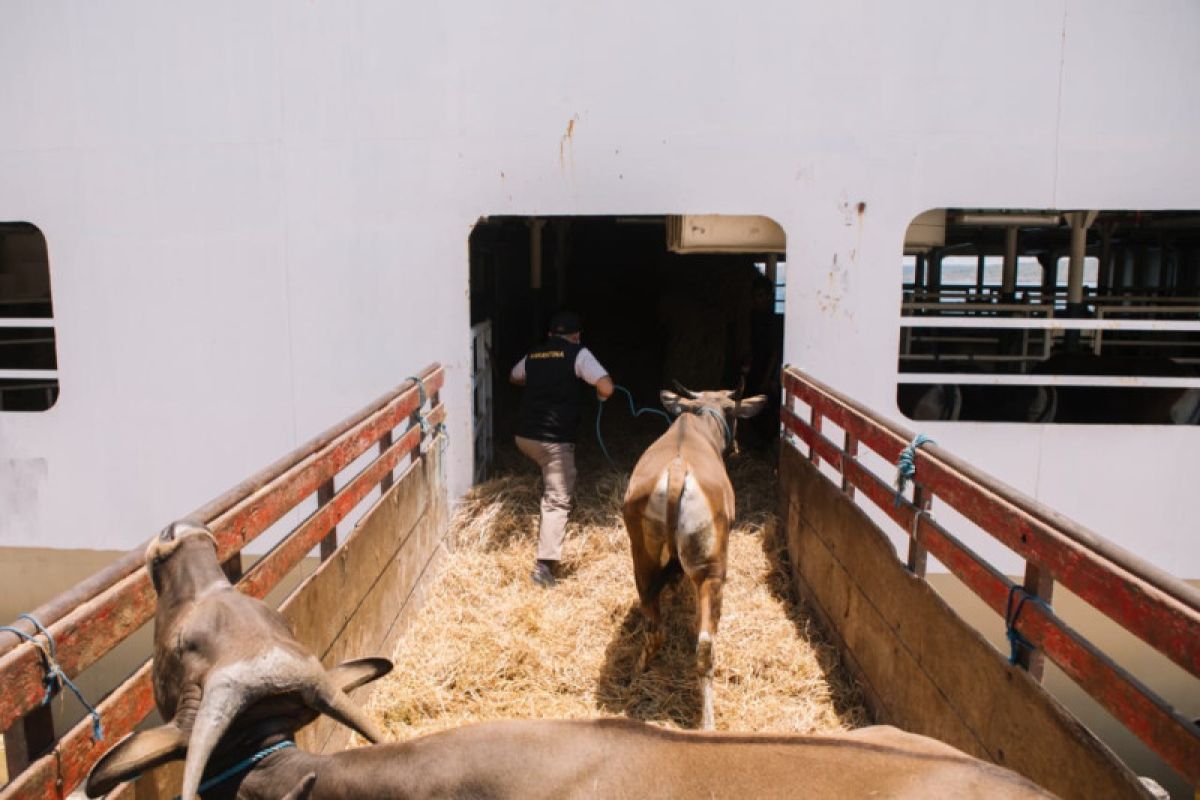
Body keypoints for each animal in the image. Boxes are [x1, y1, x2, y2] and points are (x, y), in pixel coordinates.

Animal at [619, 383, 768, 729]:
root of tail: (677, 471)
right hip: (711, 571)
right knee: (705, 645)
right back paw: (708, 722)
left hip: (642, 562)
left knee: (654, 627)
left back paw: (636, 674)